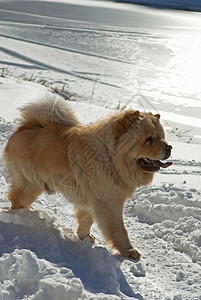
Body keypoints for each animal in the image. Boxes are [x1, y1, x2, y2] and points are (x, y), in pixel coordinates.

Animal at [3, 95, 172, 258]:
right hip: (30, 185)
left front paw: (84, 237)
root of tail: (24, 127)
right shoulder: (109, 203)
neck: (110, 157)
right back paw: (21, 218)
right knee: (16, 199)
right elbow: (119, 230)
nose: (169, 146)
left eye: (162, 136)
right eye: (148, 139)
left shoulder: (94, 201)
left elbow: (86, 220)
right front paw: (129, 251)